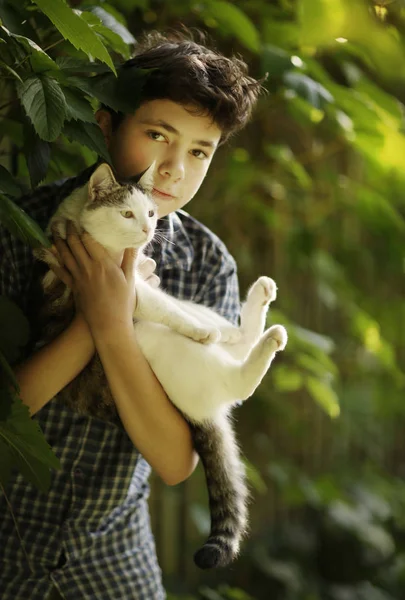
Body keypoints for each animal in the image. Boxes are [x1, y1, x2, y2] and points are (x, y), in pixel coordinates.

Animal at [34, 162, 288, 568]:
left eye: (151, 213)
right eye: (127, 214)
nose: (147, 230)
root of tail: (204, 414)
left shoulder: (143, 280)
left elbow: (176, 304)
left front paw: (215, 328)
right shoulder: (129, 291)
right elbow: (166, 308)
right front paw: (202, 331)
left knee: (233, 340)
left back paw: (254, 305)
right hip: (156, 340)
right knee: (238, 381)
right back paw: (256, 338)